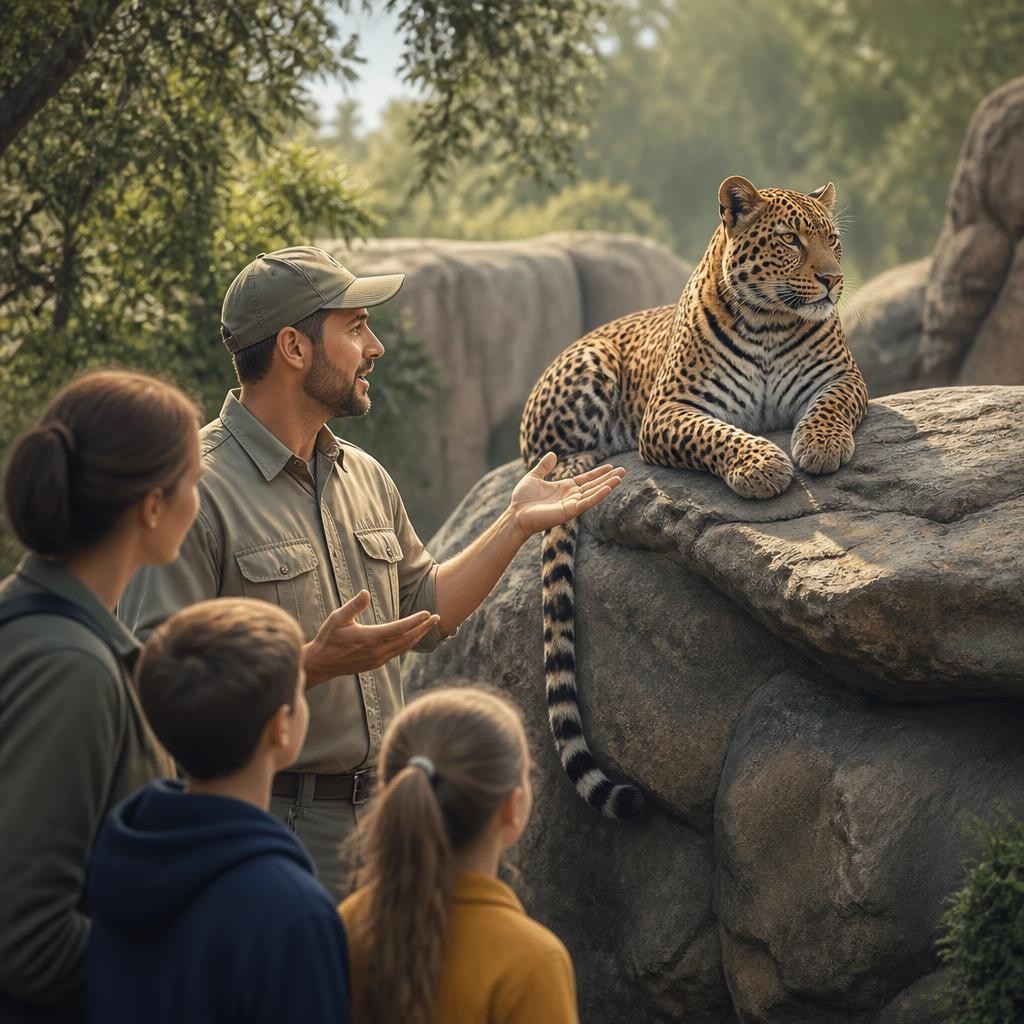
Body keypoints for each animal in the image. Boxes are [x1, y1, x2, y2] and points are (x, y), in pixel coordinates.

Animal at [519, 175, 869, 820]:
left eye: (832, 239)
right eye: (790, 240)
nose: (833, 280)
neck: (771, 322)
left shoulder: (845, 377)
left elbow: (830, 405)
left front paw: (821, 444)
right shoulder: (668, 411)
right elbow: (716, 434)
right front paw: (762, 464)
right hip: (587, 372)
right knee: (544, 463)